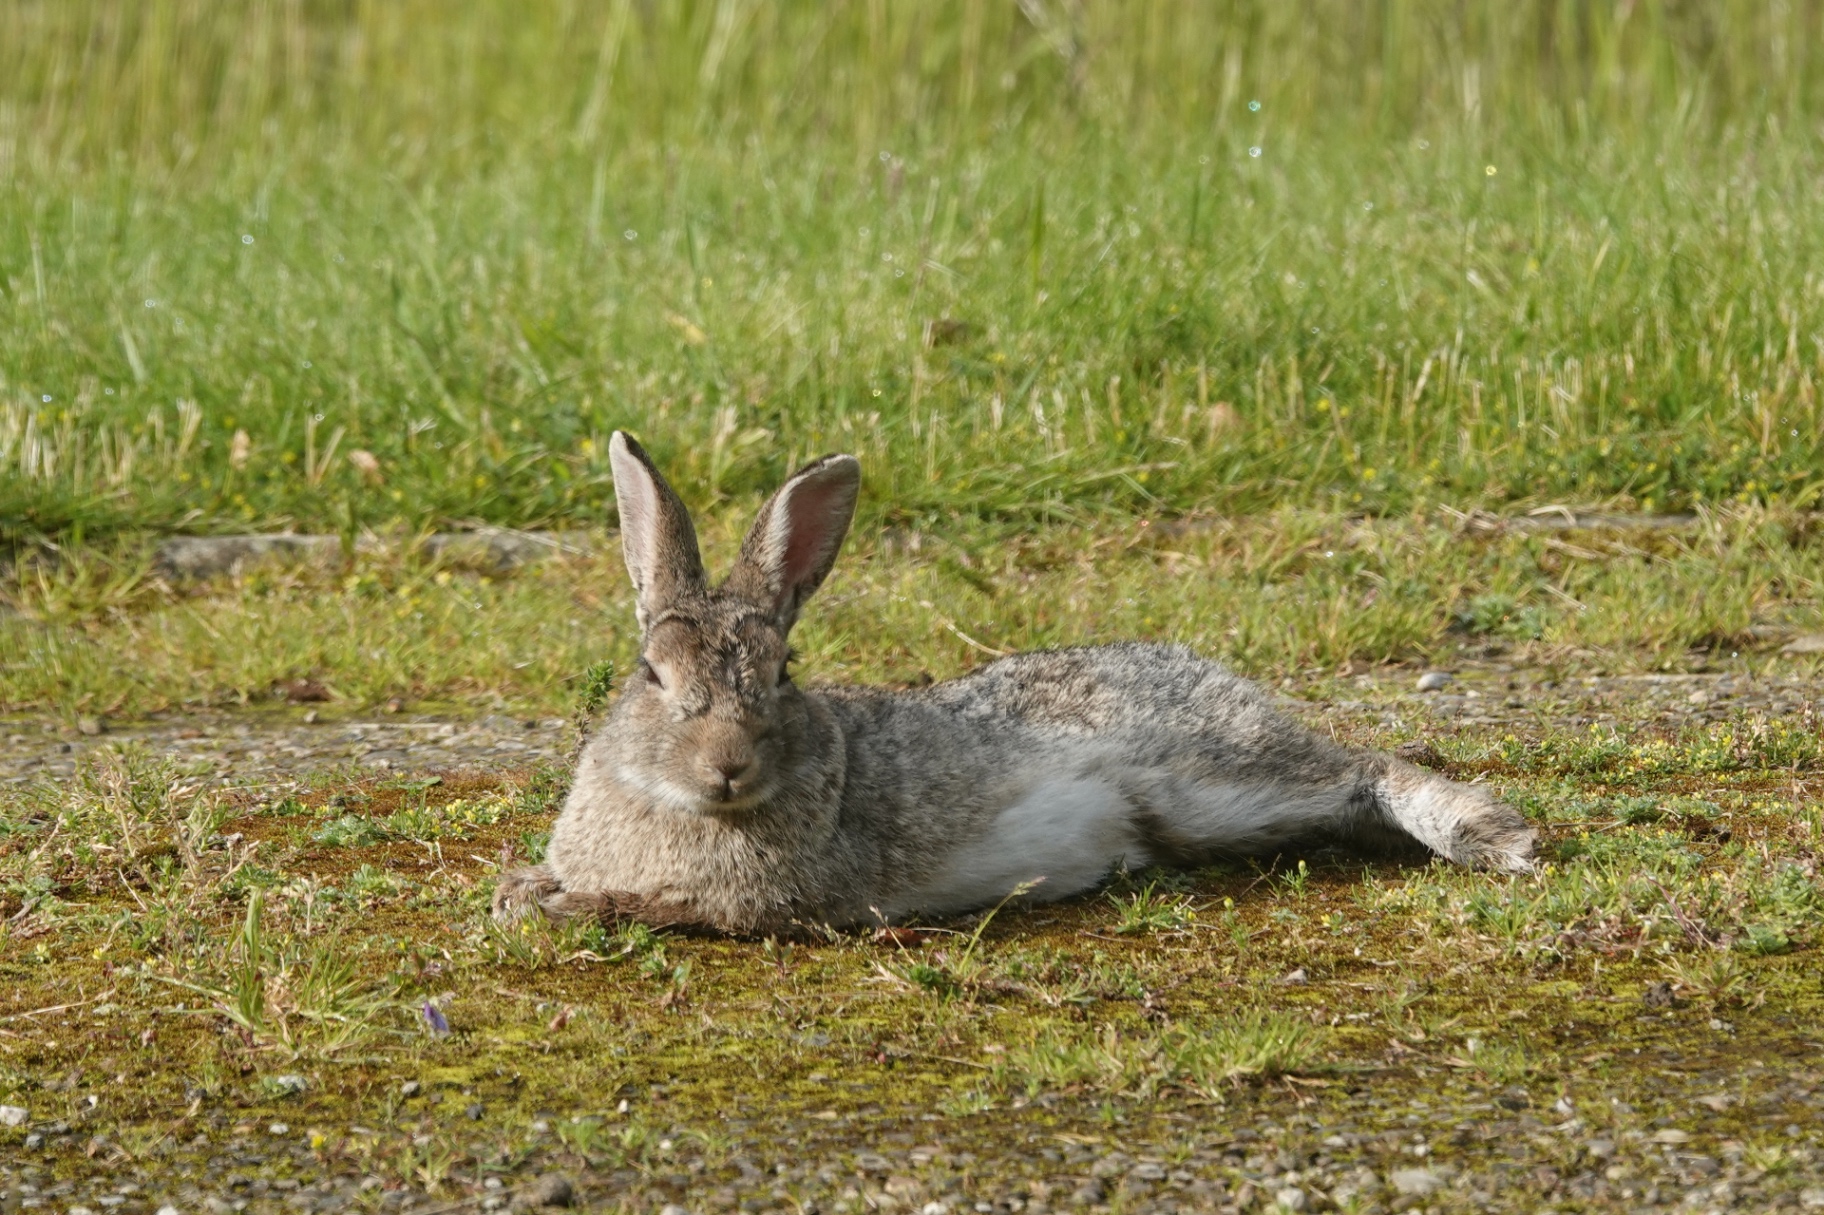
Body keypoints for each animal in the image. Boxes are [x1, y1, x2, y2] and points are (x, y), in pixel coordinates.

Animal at [493, 433, 1536, 934]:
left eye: (782, 671)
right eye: (651, 672)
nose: (728, 766)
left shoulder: (762, 900)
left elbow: (657, 904)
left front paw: (559, 903)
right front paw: (522, 886)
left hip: (1210, 776)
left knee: (1365, 766)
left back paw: (1494, 838)